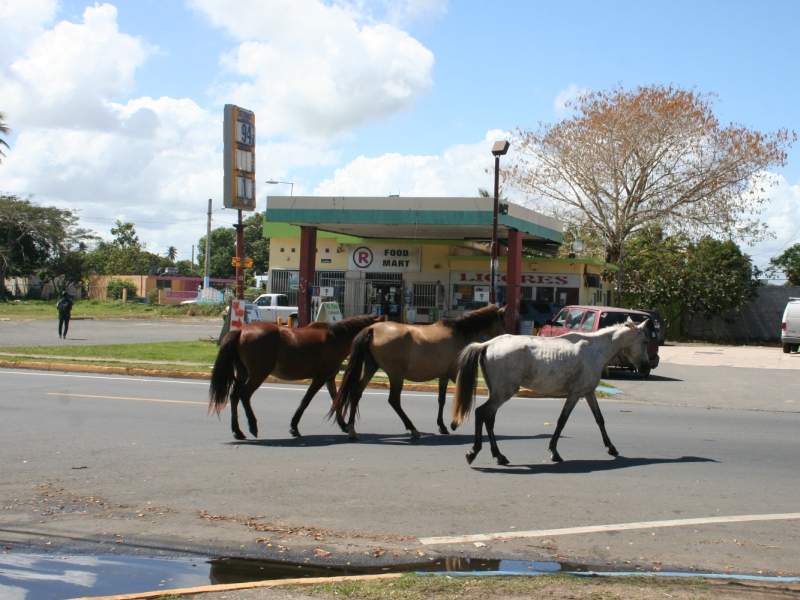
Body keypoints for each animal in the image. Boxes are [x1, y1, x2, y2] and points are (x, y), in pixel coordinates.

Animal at [206, 314, 382, 440]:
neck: (336, 338)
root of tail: (240, 331)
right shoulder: (319, 378)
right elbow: (306, 400)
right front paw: (294, 427)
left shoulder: (329, 378)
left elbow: (336, 400)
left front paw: (344, 425)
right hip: (258, 374)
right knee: (244, 395)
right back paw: (252, 426)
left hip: (244, 374)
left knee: (235, 396)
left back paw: (237, 431)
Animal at [330, 308, 506, 438]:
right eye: (502, 320)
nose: (506, 337)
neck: (460, 332)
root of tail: (372, 329)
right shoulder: (457, 374)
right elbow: (462, 395)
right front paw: (454, 422)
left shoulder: (443, 376)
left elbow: (441, 400)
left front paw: (442, 425)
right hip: (395, 375)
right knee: (394, 400)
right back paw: (412, 428)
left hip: (370, 369)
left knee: (356, 393)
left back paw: (351, 429)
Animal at [450, 318, 648, 464]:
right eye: (644, 340)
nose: (645, 368)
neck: (594, 349)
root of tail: (488, 344)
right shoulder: (575, 393)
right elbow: (562, 421)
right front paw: (554, 451)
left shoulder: (588, 392)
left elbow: (599, 419)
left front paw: (611, 447)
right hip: (504, 392)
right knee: (481, 413)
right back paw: (474, 452)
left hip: (496, 392)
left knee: (489, 419)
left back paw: (499, 456)